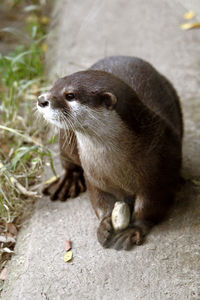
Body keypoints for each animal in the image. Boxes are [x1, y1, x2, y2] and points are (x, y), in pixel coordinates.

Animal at [37, 56, 183, 251]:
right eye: (53, 86)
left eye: (70, 95)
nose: (41, 100)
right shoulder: (93, 175)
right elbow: (98, 198)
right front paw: (105, 223)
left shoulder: (161, 171)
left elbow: (150, 206)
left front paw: (132, 229)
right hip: (68, 141)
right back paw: (67, 182)